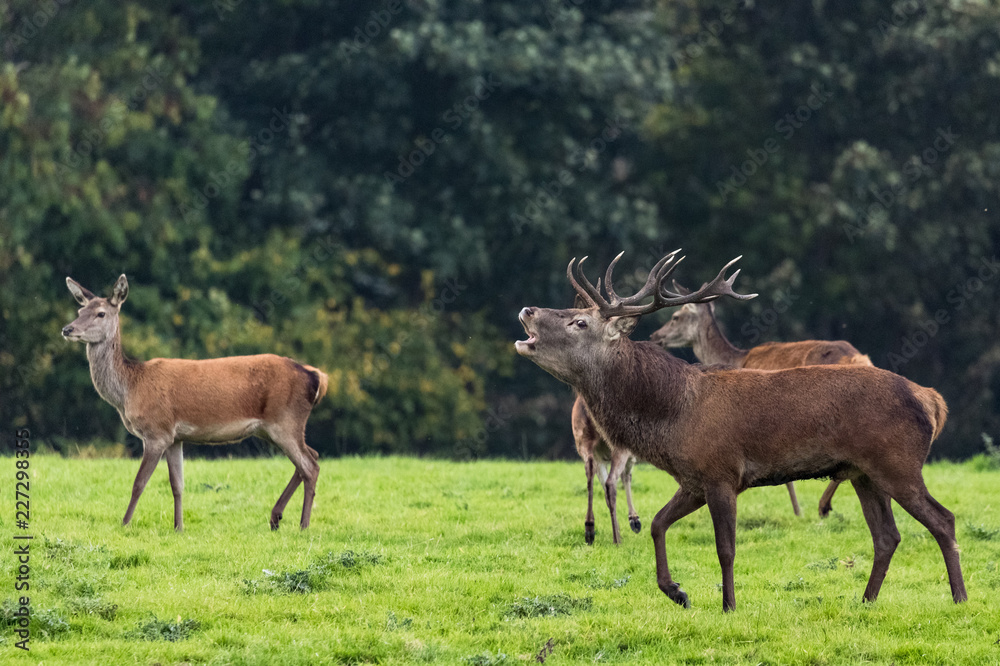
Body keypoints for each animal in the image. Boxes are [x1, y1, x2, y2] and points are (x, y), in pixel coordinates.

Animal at [62, 274, 328, 528]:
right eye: (80, 311)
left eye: (101, 313)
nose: (67, 329)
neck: (130, 389)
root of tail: (316, 376)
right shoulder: (174, 437)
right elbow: (177, 485)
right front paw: (178, 527)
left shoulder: (157, 432)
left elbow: (139, 482)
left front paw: (125, 524)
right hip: (272, 428)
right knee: (312, 455)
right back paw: (276, 518)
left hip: (285, 420)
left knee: (310, 466)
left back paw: (303, 525)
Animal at [648, 282, 876, 516]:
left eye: (675, 316)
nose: (655, 335)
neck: (737, 359)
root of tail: (858, 358)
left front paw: (797, 511)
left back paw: (823, 506)